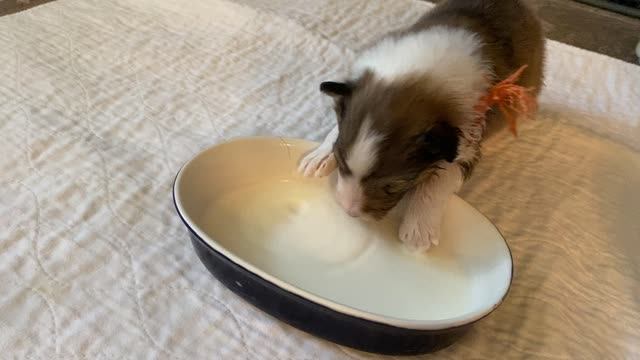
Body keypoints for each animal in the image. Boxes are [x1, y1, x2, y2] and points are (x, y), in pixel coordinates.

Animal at [300, 0, 544, 252]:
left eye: (391, 187)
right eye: (340, 163)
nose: (349, 211)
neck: (421, 74)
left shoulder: (466, 141)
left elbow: (438, 182)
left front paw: (418, 231)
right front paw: (319, 157)